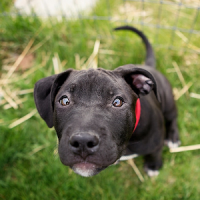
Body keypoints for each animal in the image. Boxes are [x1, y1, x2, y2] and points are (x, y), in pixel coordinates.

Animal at [34, 25, 180, 177]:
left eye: (117, 102)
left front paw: (153, 165)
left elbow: (155, 153)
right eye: (64, 101)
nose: (82, 141)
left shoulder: (156, 142)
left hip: (169, 103)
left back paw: (173, 138)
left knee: (173, 118)